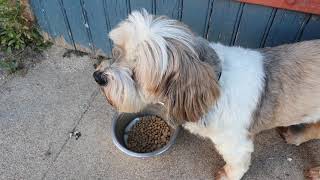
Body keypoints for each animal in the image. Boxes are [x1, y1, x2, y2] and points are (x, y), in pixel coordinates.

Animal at [92, 10, 320, 180]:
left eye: (136, 73)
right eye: (118, 50)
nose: (98, 77)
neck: (216, 83)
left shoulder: (237, 145)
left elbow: (237, 165)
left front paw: (227, 175)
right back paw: (295, 136)